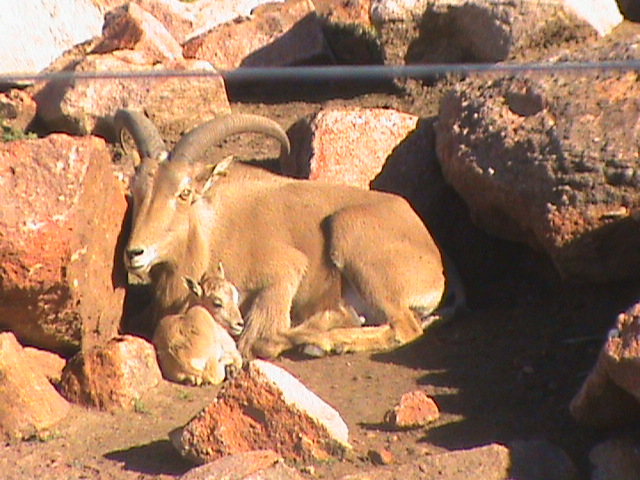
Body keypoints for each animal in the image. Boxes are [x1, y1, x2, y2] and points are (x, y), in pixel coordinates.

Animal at [116, 109, 464, 359]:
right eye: (136, 188)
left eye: (184, 192)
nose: (135, 253)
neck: (211, 234)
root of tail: (437, 259)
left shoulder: (284, 271)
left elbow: (256, 336)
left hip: (351, 237)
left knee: (405, 328)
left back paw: (326, 342)